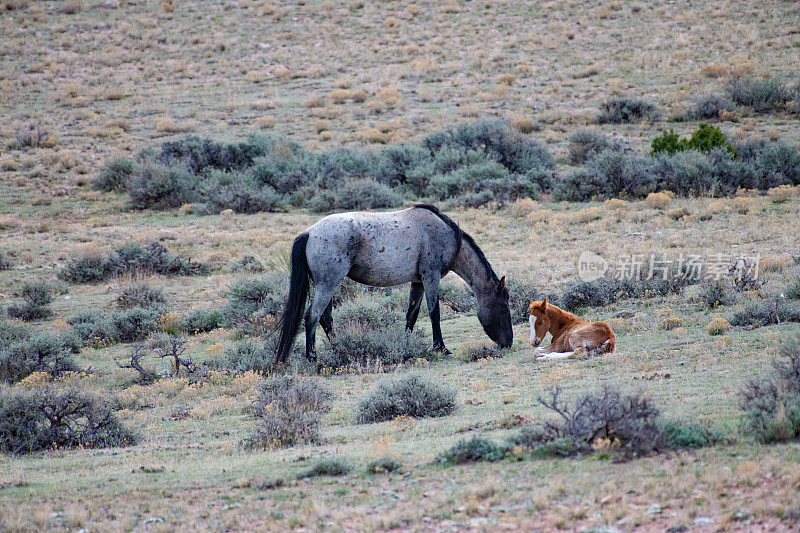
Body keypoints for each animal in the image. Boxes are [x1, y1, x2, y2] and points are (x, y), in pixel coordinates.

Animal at [276, 203, 512, 362]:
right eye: (503, 308)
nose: (508, 343)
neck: (446, 234)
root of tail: (309, 233)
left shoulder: (418, 282)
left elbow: (412, 315)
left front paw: (406, 344)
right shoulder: (431, 276)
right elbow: (434, 312)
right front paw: (442, 348)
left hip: (328, 285)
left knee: (325, 318)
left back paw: (337, 348)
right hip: (328, 284)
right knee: (312, 316)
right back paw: (312, 357)